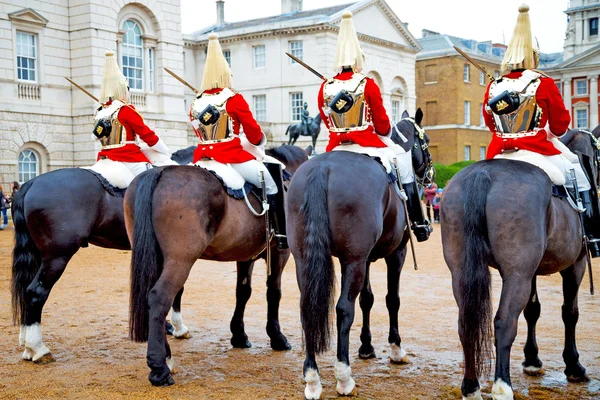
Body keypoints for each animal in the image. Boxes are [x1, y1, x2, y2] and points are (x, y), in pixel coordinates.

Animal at [10, 146, 196, 362]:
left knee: (25, 290)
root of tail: (31, 183)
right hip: (57, 257)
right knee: (35, 292)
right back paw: (38, 348)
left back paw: (27, 346)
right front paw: (178, 328)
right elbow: (176, 288)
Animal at [125, 144, 312, 384]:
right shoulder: (280, 254)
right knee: (159, 298)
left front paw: (239, 336)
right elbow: (274, 293)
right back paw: (160, 368)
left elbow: (243, 292)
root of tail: (160, 172)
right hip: (180, 261)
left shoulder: (245, 256)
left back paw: (167, 358)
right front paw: (277, 337)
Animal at [284, 109, 432, 396]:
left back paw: (312, 378)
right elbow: (391, 299)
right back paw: (344, 377)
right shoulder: (394, 254)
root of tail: (322, 167)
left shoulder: (364, 258)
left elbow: (367, 299)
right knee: (343, 309)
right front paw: (395, 349)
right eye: (426, 141)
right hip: (354, 261)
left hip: (306, 260)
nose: (430, 174)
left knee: (307, 307)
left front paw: (366, 346)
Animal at [438, 130, 596, 398]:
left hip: (461, 272)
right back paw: (502, 386)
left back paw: (471, 387)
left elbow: (533, 310)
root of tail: (483, 173)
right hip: (517, 275)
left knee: (465, 324)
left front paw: (532, 360)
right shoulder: (575, 264)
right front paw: (574, 365)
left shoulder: (533, 272)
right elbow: (570, 312)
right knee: (504, 322)